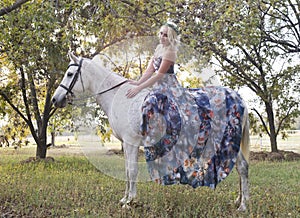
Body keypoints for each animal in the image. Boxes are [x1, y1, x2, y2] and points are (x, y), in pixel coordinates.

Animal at [52, 52, 251, 211]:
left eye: (70, 74)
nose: (55, 99)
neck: (121, 98)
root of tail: (238, 98)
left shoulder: (131, 143)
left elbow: (132, 171)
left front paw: (130, 202)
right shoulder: (126, 144)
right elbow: (127, 170)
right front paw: (125, 198)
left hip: (229, 141)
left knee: (242, 167)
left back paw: (243, 205)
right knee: (240, 168)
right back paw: (238, 200)